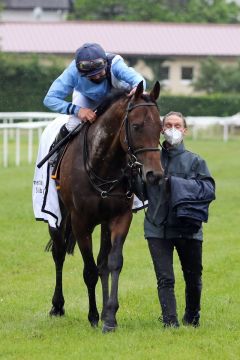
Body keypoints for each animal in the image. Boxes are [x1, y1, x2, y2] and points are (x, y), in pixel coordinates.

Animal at [48, 81, 164, 332]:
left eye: (161, 127)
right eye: (137, 126)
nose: (155, 175)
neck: (102, 164)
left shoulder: (120, 216)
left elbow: (113, 263)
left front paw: (109, 316)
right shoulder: (81, 221)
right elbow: (89, 270)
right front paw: (92, 316)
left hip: (102, 222)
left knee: (102, 262)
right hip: (58, 216)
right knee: (59, 254)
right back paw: (57, 306)